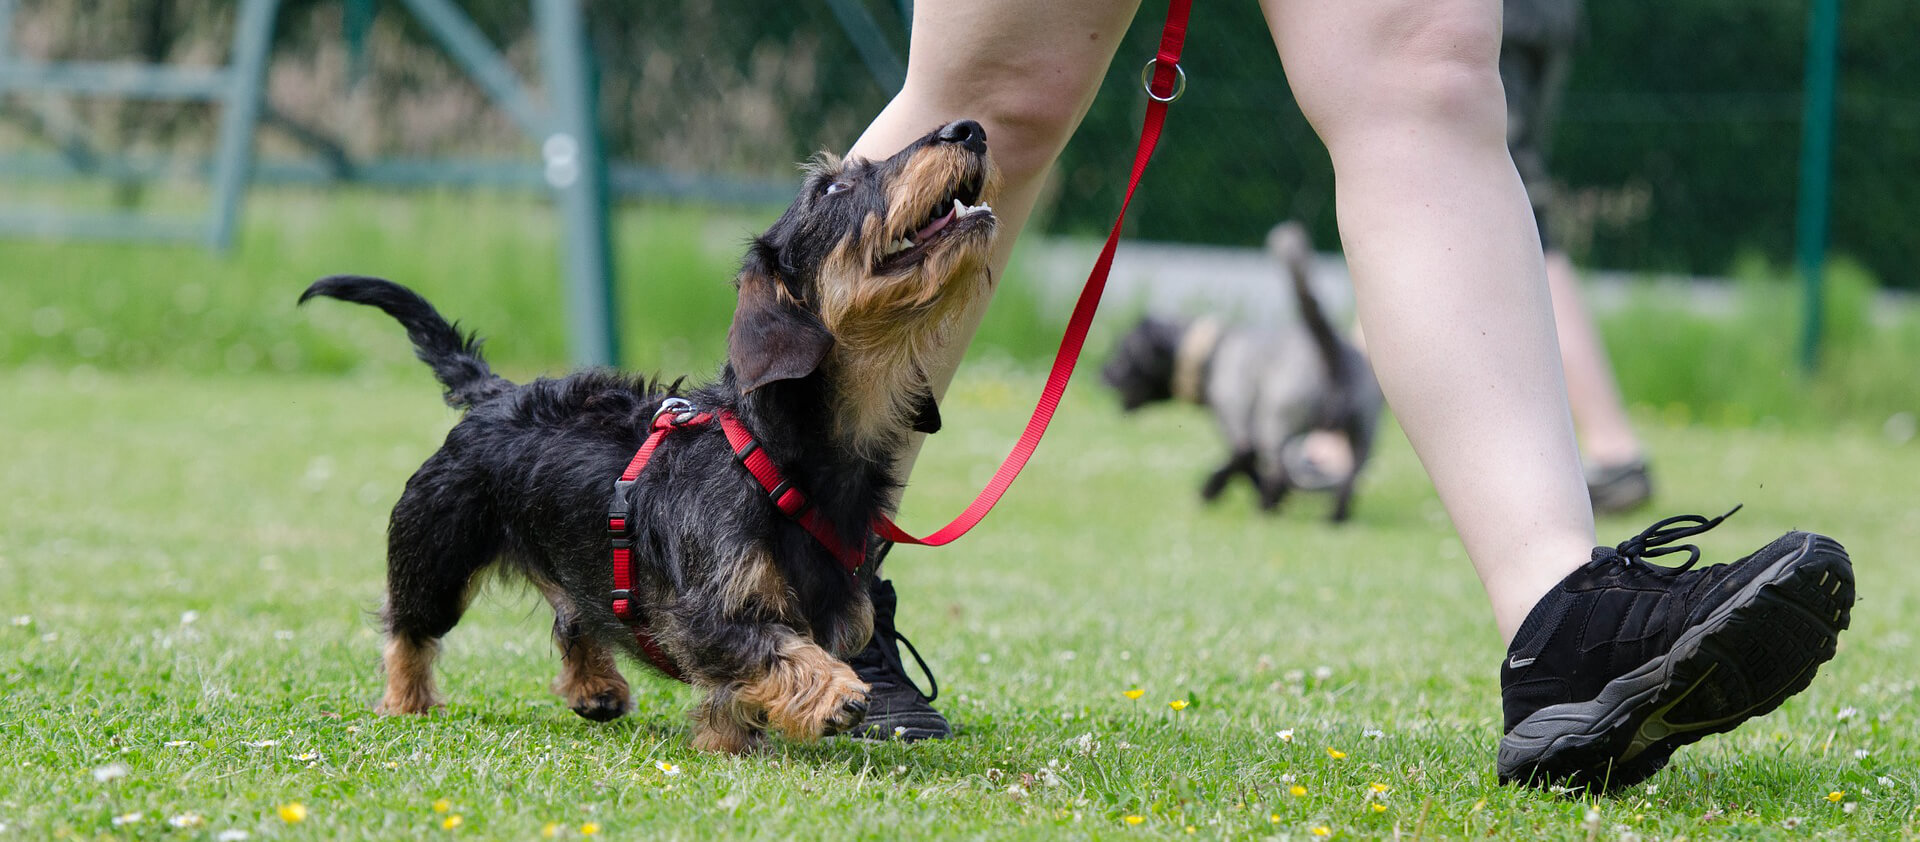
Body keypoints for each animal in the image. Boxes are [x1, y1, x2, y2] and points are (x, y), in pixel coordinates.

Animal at [299, 116, 1006, 751]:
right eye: (833, 187)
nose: (969, 129)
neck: (776, 455)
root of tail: (496, 393)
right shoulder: (704, 615)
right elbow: (776, 649)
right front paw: (834, 694)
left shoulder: (834, 609)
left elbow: (741, 688)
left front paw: (728, 740)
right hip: (435, 553)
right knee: (408, 629)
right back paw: (406, 700)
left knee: (574, 616)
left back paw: (595, 687)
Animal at [1105, 225, 1390, 529]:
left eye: (1123, 353)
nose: (1102, 373)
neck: (1211, 352)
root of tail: (1331, 347)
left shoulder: (1239, 428)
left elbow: (1243, 465)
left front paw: (1212, 491)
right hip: (1362, 435)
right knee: (1349, 480)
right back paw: (1334, 519)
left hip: (1275, 424)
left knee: (1278, 470)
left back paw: (1265, 507)